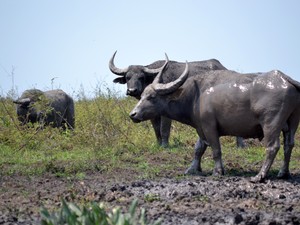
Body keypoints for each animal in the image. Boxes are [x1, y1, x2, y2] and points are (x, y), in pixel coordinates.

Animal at [109, 51, 245, 149]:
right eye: (128, 77)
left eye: (141, 77)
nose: (132, 90)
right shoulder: (152, 115)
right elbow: (156, 129)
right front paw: (159, 144)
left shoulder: (166, 114)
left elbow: (164, 129)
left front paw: (164, 146)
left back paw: (240, 146)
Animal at [129, 60, 300, 183]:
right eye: (142, 95)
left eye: (152, 97)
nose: (133, 114)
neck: (194, 96)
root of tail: (284, 78)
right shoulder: (200, 128)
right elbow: (199, 148)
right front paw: (192, 169)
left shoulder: (209, 127)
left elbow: (216, 150)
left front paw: (217, 171)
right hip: (292, 123)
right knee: (289, 145)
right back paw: (283, 173)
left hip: (270, 124)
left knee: (273, 147)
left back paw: (259, 176)